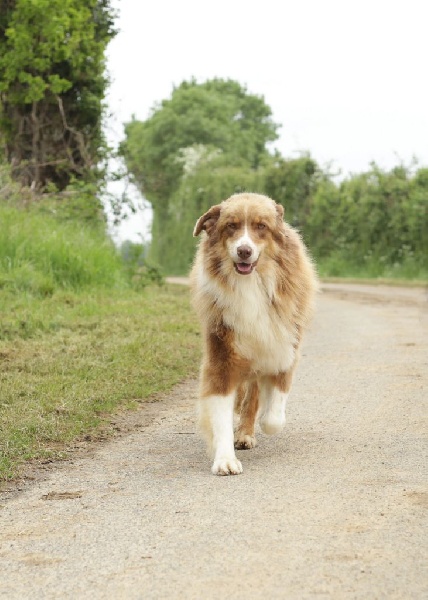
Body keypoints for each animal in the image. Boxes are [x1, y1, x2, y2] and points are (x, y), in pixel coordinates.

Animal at [191, 195, 318, 476]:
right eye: (231, 226)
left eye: (261, 227)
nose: (244, 251)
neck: (250, 286)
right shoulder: (222, 356)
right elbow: (221, 413)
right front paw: (225, 459)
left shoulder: (283, 348)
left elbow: (273, 417)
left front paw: (259, 424)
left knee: (253, 397)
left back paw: (246, 432)